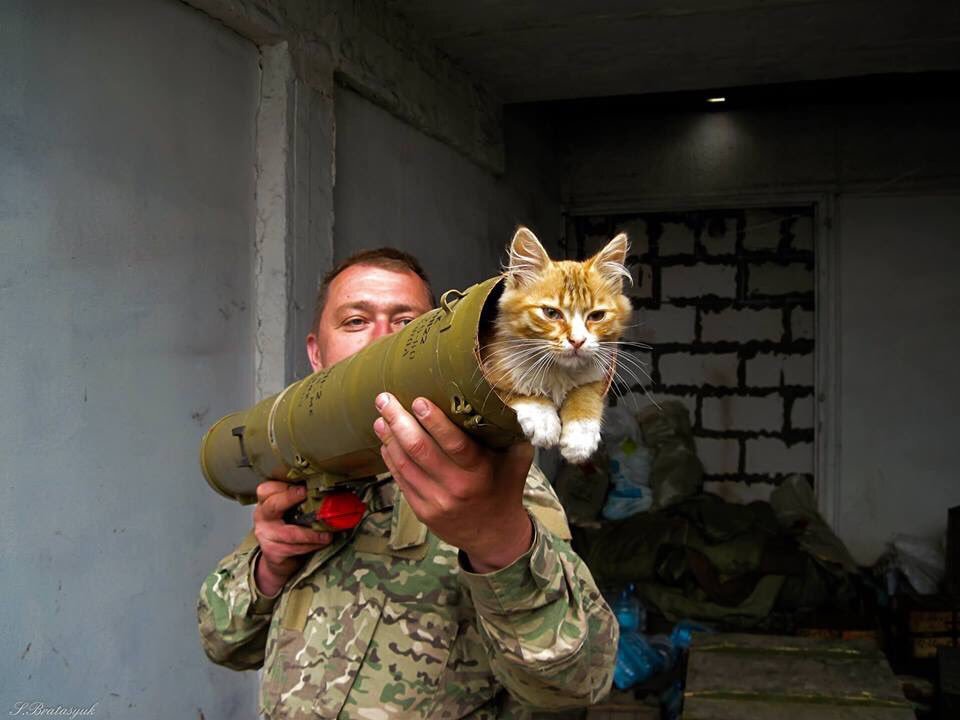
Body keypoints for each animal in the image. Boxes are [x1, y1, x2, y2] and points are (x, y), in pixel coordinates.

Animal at [478, 228, 632, 464]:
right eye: (551, 313)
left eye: (597, 316)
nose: (577, 341)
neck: (557, 370)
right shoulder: (488, 375)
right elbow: (517, 390)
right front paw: (543, 420)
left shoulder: (597, 375)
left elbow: (585, 393)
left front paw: (580, 438)